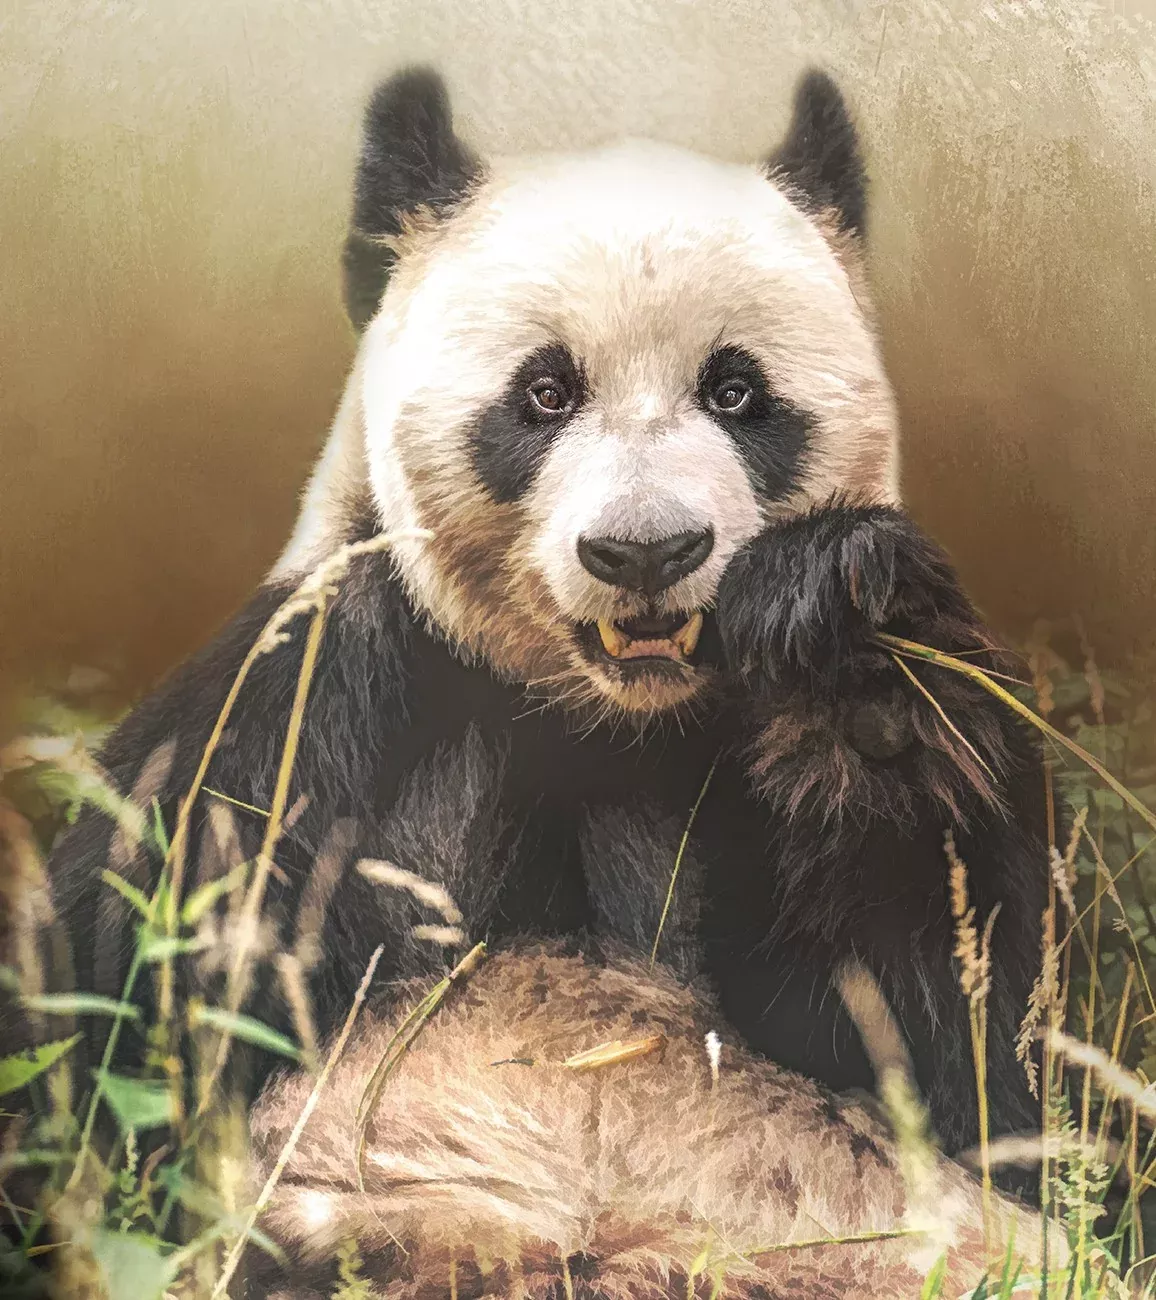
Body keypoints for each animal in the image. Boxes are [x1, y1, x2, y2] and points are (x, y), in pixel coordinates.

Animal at [31, 62, 1049, 1285]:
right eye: (546, 391)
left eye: (736, 391)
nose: (646, 552)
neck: (601, 720)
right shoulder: (317, 712)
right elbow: (128, 982)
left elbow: (939, 1033)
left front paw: (844, 647)